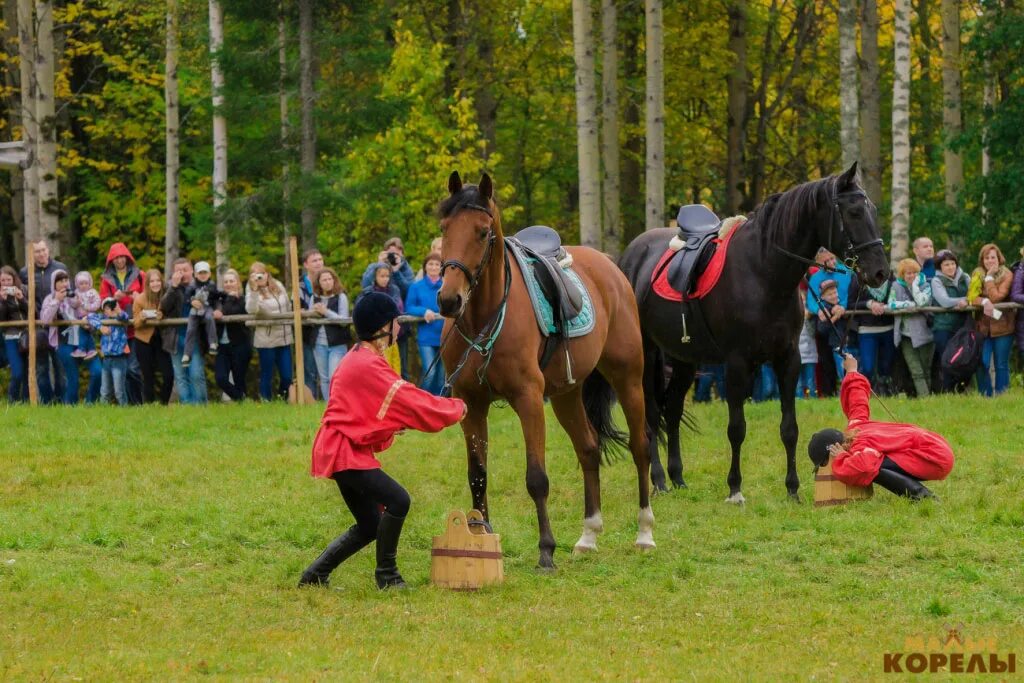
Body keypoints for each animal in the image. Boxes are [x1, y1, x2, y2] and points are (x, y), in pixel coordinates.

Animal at [436, 174, 651, 569]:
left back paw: (645, 533)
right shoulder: (471, 403)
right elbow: (477, 475)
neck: (485, 317)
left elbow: (536, 478)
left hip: (627, 378)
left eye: (482, 232)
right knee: (588, 449)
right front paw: (479, 540)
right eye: (444, 228)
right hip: (567, 393)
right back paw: (588, 536)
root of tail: (610, 267)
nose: (449, 299)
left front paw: (546, 550)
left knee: (641, 446)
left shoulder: (529, 399)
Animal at [618, 162, 892, 499]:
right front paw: (735, 488)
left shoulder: (788, 360)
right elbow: (736, 429)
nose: (880, 272)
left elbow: (789, 429)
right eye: (853, 212)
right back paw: (658, 480)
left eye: (872, 210)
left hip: (683, 358)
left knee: (671, 411)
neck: (763, 271)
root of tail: (630, 255)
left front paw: (792, 489)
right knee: (651, 415)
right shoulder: (737, 363)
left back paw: (678, 478)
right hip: (647, 354)